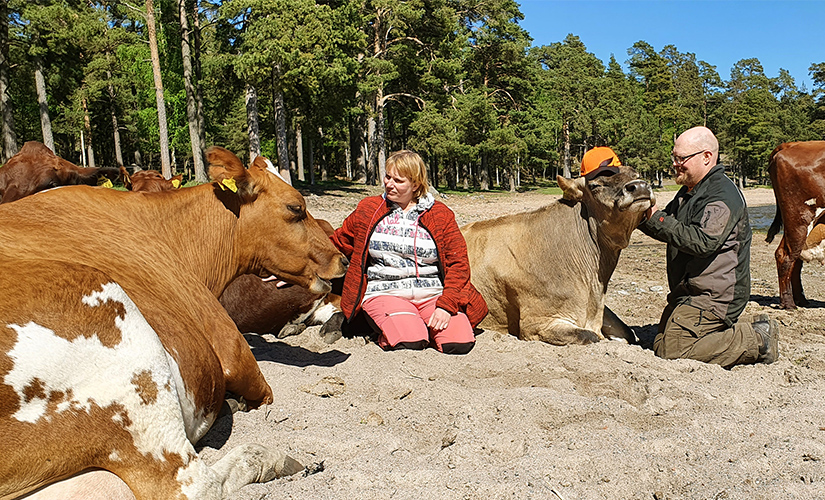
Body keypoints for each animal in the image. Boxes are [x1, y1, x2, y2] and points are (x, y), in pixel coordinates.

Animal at [464, 168, 652, 344]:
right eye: (595, 185)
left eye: (636, 174)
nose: (640, 186)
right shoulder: (536, 322)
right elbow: (590, 336)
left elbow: (627, 332)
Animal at [764, 141, 824, 308]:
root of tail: (791, 144)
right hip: (800, 218)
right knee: (786, 256)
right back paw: (789, 303)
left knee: (794, 258)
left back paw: (800, 300)